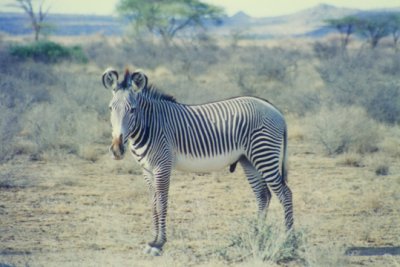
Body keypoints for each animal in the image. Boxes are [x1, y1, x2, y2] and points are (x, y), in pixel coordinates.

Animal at [101, 68, 292, 256]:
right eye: (110, 108)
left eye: (133, 109)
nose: (117, 149)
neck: (150, 124)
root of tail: (275, 110)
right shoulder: (147, 170)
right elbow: (153, 204)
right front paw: (153, 240)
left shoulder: (162, 166)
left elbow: (162, 203)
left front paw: (159, 244)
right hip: (249, 160)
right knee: (263, 195)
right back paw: (257, 235)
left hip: (264, 155)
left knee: (285, 194)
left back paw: (288, 238)